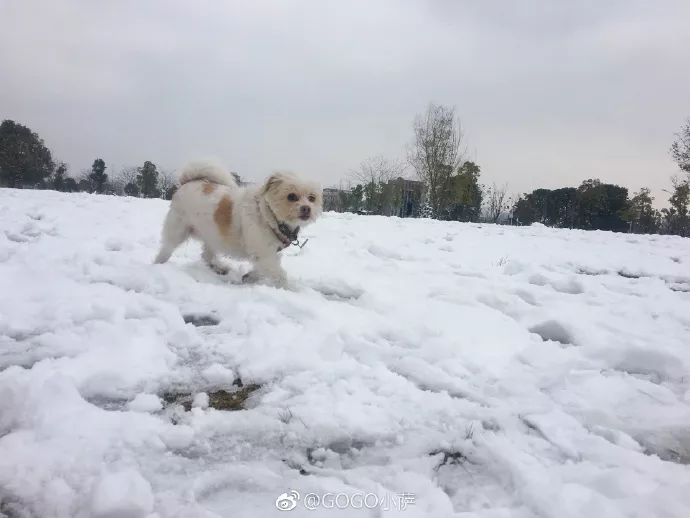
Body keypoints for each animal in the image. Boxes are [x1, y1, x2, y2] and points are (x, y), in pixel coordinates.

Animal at [153, 161, 320, 288]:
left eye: (312, 198)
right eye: (291, 196)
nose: (307, 208)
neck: (267, 215)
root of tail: (187, 182)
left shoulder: (267, 254)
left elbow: (263, 269)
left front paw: (250, 277)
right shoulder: (264, 253)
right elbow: (280, 275)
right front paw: (291, 290)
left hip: (212, 234)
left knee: (207, 255)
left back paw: (219, 268)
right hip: (177, 230)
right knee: (166, 249)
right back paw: (159, 265)